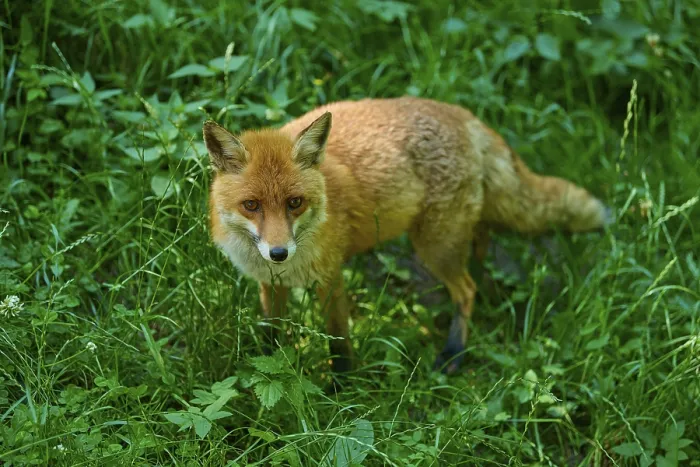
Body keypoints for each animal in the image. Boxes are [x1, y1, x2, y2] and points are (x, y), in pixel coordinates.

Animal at [203, 97, 611, 376]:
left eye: (294, 202)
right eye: (252, 205)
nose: (278, 253)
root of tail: (462, 114)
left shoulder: (331, 279)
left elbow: (339, 340)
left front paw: (341, 388)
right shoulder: (269, 285)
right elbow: (271, 334)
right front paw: (267, 365)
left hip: (434, 246)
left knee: (466, 290)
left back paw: (454, 351)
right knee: (481, 241)